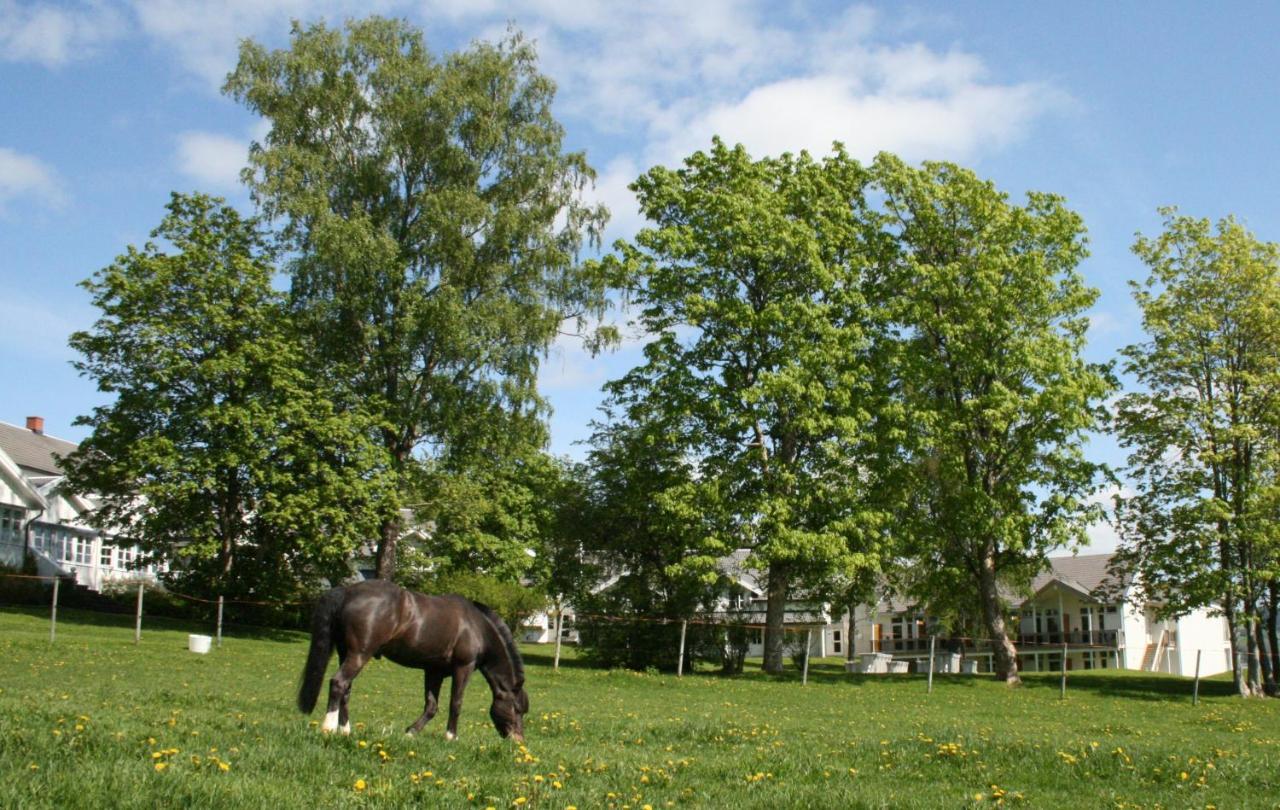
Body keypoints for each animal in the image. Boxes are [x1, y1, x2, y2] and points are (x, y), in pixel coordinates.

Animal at [294, 578, 524, 742]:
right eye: (517, 709)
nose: (518, 741)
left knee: (346, 690)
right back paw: (328, 727)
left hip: (346, 653)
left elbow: (431, 706)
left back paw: (345, 731)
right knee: (338, 683)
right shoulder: (463, 668)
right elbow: (456, 703)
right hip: (359, 654)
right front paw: (451, 736)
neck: (476, 627)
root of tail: (347, 592)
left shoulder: (434, 671)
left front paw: (411, 732)